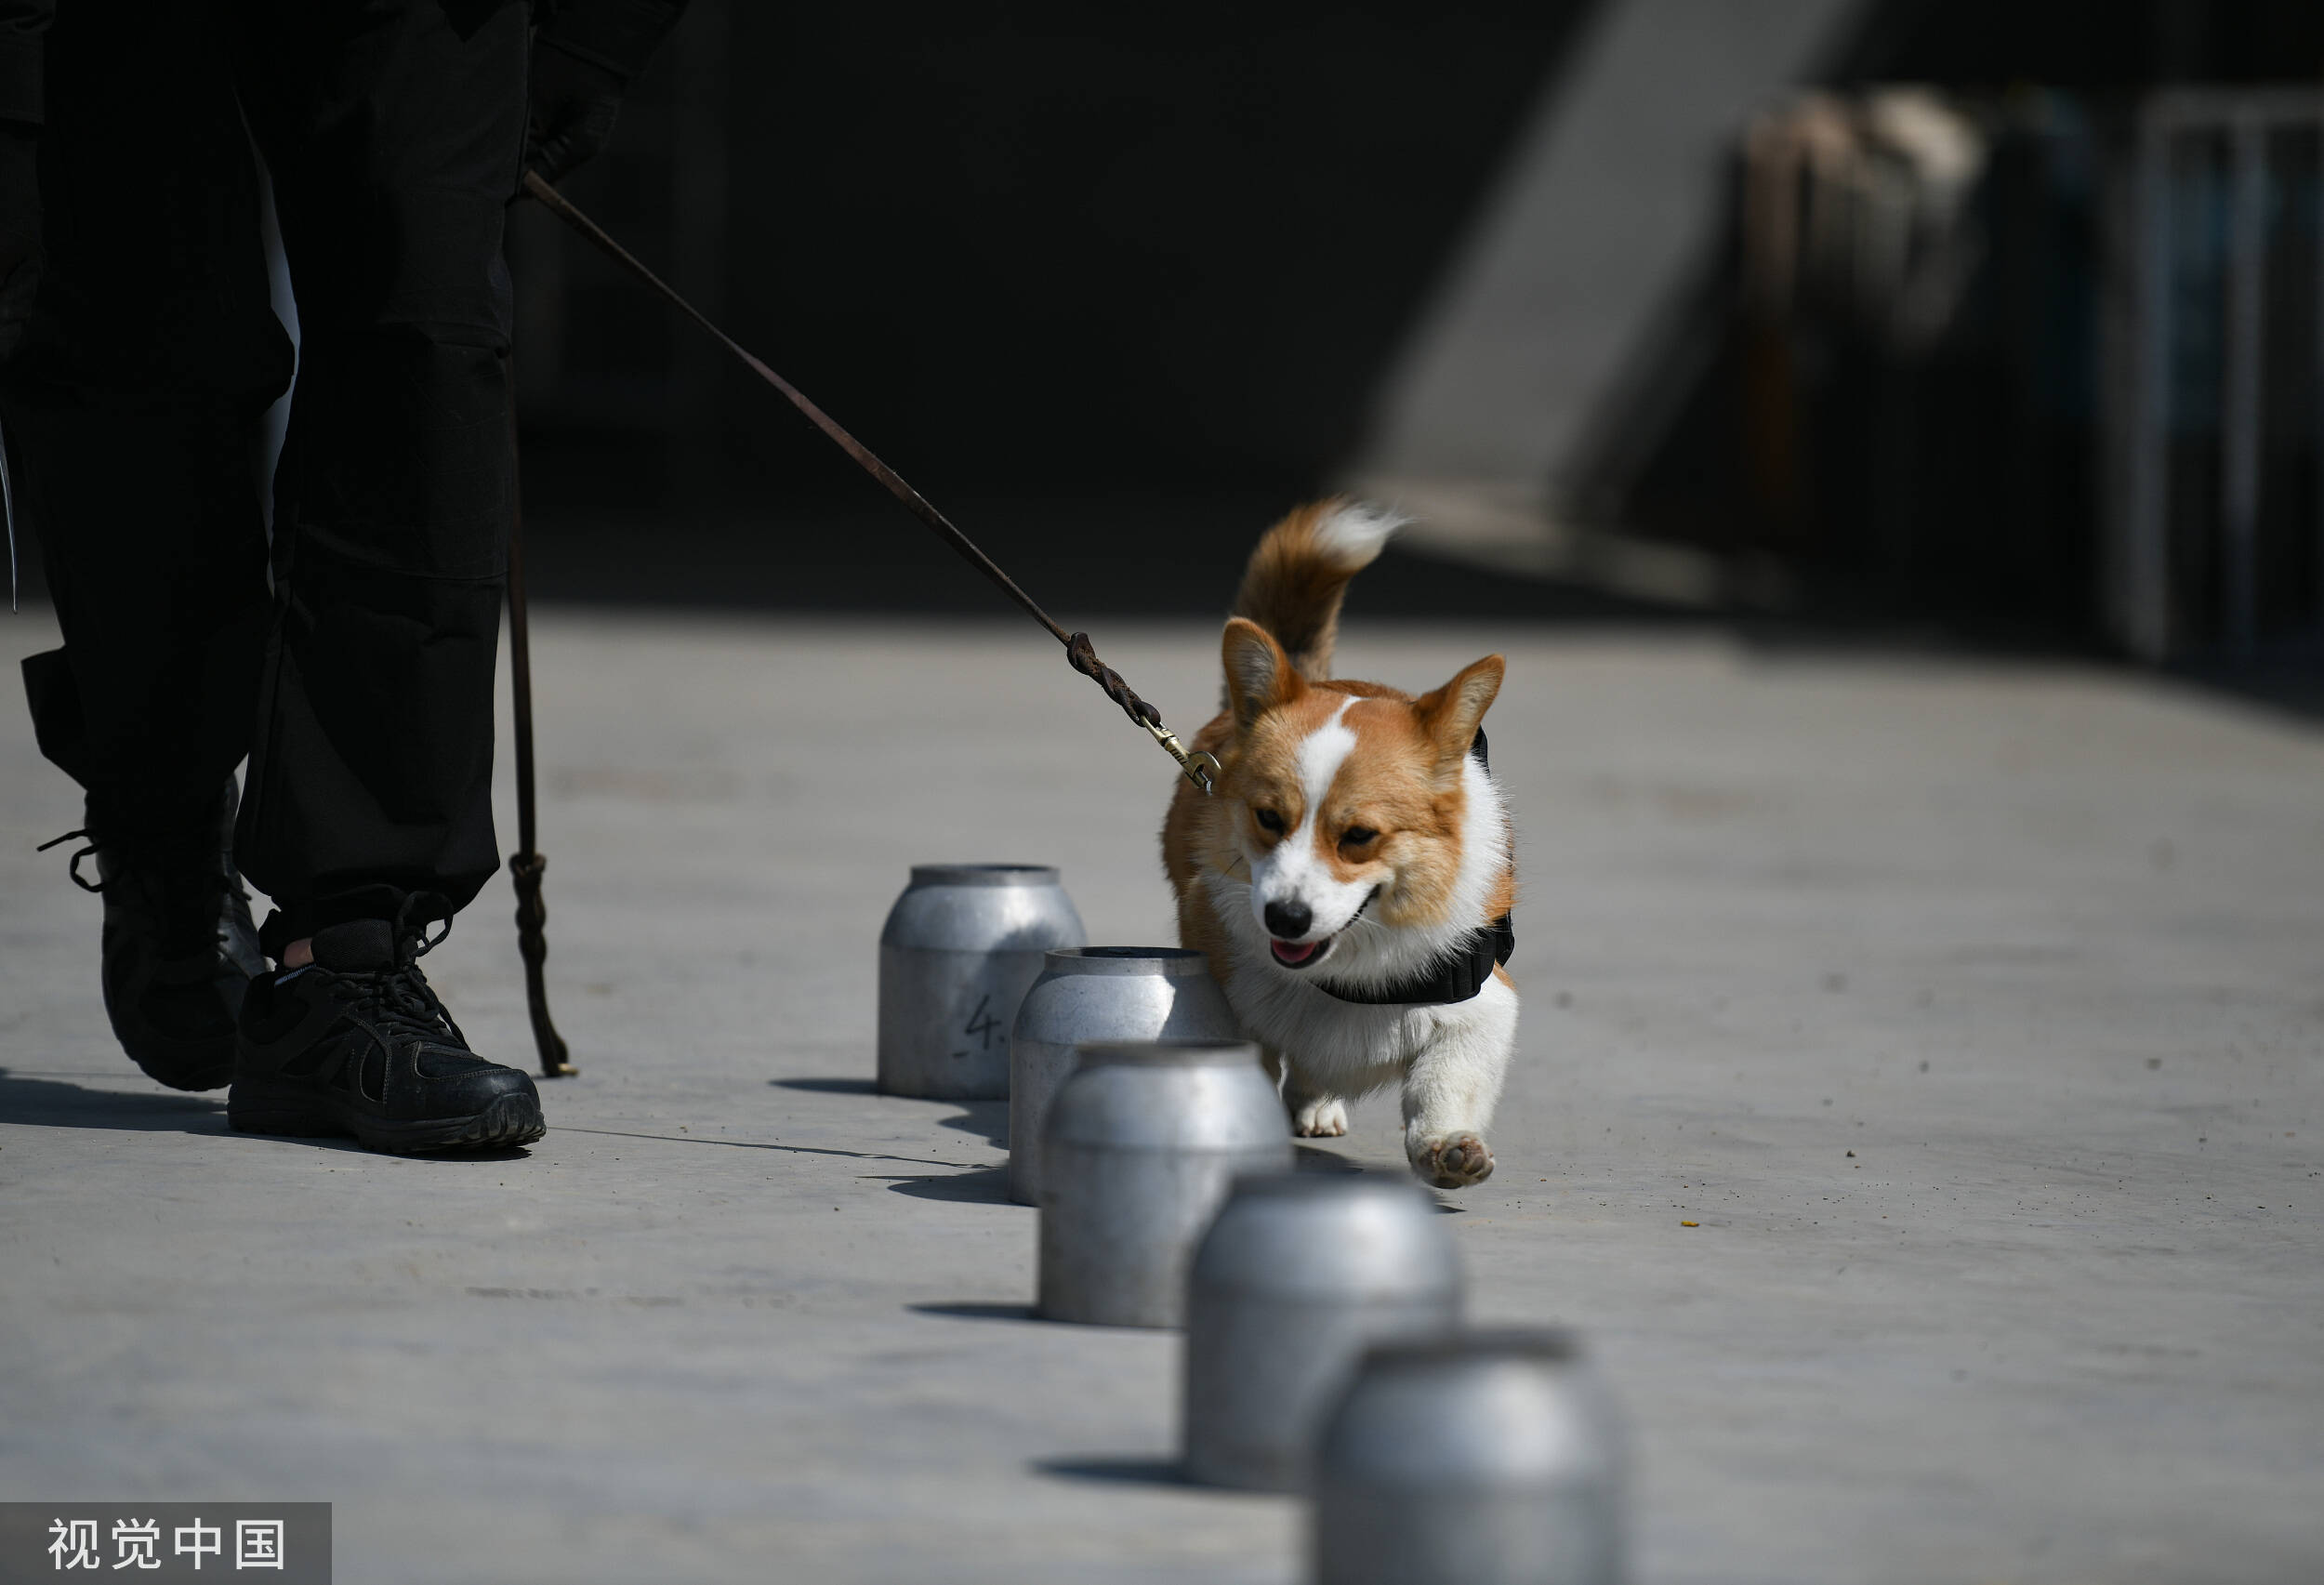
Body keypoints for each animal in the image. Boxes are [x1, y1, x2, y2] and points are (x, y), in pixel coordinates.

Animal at [1162, 499, 1525, 1181]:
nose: (1286, 917)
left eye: (1359, 836)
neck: (1346, 969)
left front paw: (1449, 1147)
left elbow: (1445, 1079)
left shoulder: (1482, 1004)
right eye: (1268, 817)